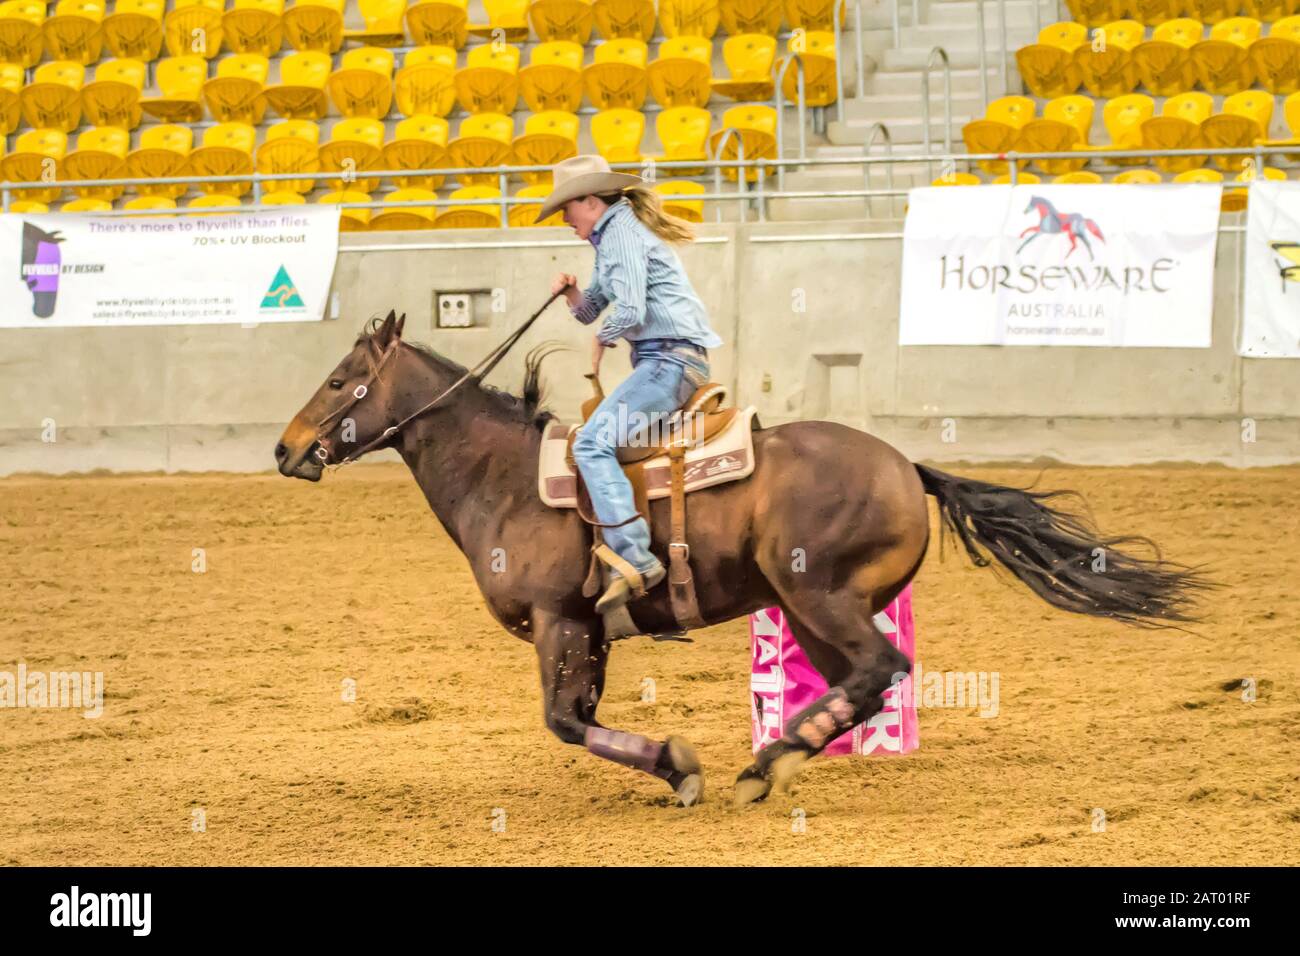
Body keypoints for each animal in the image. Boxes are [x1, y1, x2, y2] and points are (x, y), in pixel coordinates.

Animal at [276, 314, 1216, 806]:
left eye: (339, 380)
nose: (285, 450)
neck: (504, 478)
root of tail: (907, 466)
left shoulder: (558, 621)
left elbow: (564, 721)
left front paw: (679, 767)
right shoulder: (591, 630)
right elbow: (579, 718)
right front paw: (673, 768)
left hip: (817, 591)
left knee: (882, 667)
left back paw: (769, 763)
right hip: (809, 606)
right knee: (867, 680)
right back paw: (782, 757)